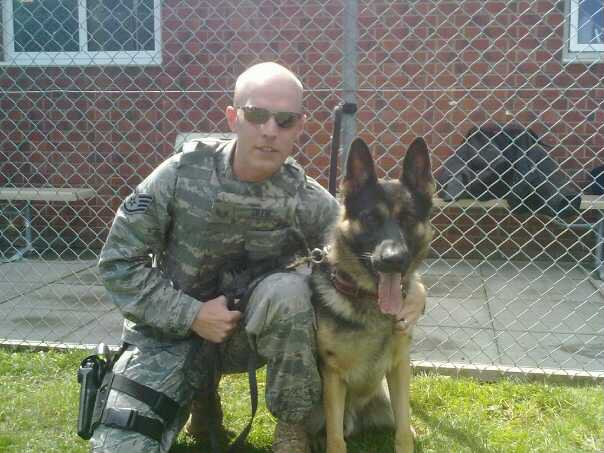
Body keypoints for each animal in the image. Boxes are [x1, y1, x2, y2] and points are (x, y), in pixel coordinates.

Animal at [310, 138, 432, 452]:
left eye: (408, 218)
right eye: (370, 219)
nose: (393, 259)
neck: (369, 302)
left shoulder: (400, 368)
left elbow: (403, 433)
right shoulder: (333, 378)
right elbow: (335, 440)